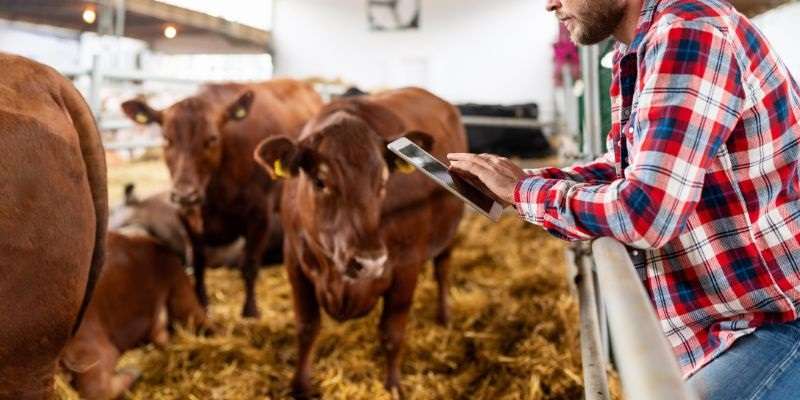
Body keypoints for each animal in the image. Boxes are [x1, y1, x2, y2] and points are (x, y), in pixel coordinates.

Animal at [120, 80, 320, 318]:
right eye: (166, 139)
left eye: (212, 139)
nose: (185, 194)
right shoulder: (187, 218)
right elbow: (197, 263)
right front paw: (203, 305)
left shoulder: (260, 214)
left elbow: (250, 264)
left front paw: (250, 311)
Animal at [256, 86, 466, 396]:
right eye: (320, 181)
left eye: (383, 182)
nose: (370, 262)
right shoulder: (294, 261)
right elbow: (306, 327)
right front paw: (300, 386)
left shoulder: (406, 267)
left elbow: (392, 333)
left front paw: (393, 387)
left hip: (448, 232)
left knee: (443, 269)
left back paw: (445, 316)